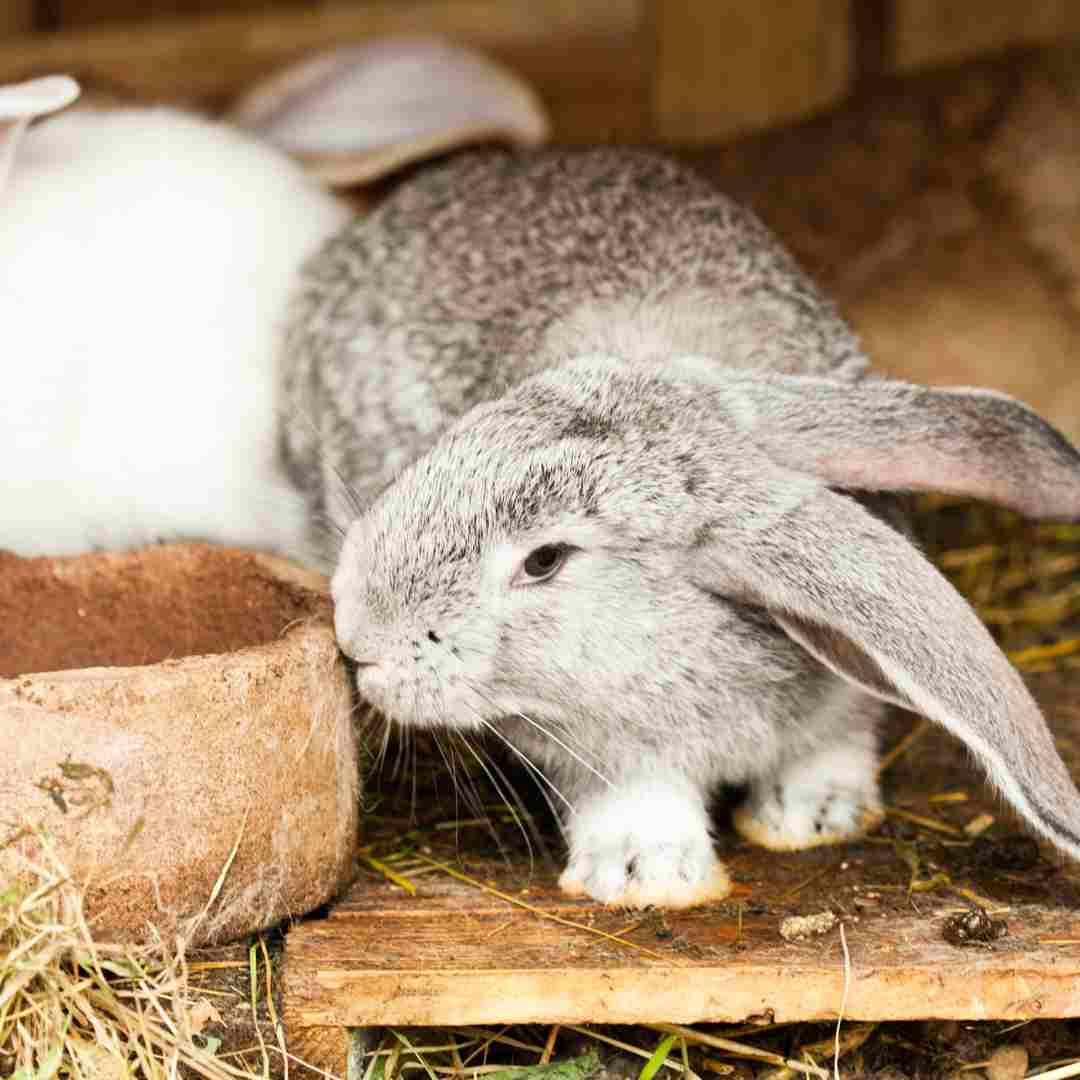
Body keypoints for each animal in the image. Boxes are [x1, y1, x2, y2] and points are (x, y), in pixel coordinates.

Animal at [282, 147, 1080, 907]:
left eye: (545, 560)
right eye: (455, 439)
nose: (357, 634)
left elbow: (835, 736)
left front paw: (815, 815)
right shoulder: (596, 745)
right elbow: (635, 793)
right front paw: (646, 873)